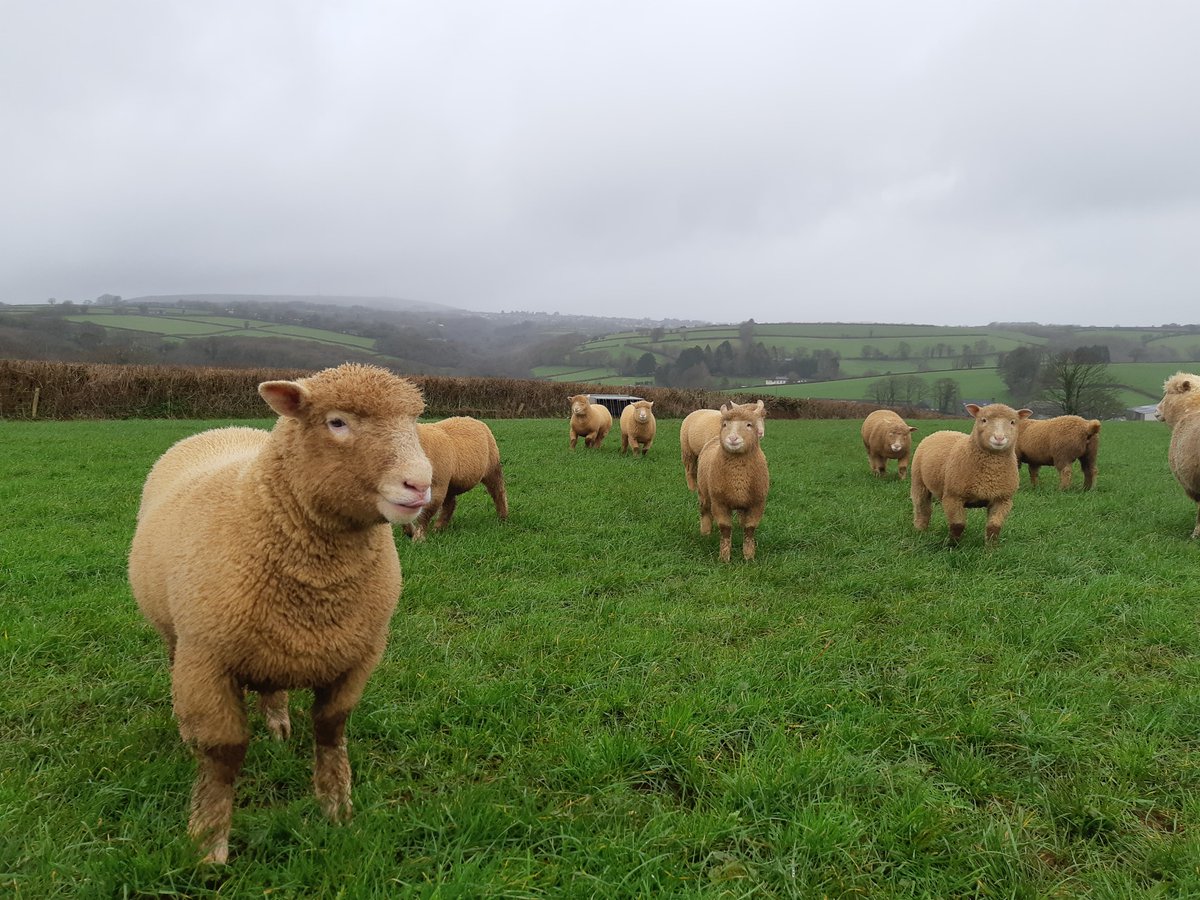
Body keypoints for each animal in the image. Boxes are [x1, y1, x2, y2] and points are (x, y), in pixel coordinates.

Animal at [128, 363, 433, 864]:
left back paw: (278, 726)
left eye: (414, 422)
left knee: (273, 689)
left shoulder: (359, 657)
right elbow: (223, 755)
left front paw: (336, 809)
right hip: (176, 637)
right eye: (337, 422)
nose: (420, 484)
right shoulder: (206, 660)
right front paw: (209, 842)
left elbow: (330, 731)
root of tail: (221, 429)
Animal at [696, 402, 770, 562]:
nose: (733, 438)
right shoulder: (720, 503)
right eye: (725, 424)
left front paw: (749, 557)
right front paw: (724, 558)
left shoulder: (757, 503)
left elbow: (749, 530)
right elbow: (725, 529)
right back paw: (705, 533)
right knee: (705, 511)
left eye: (749, 424)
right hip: (704, 493)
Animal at [910, 402, 1031, 545]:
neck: (990, 474)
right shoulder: (953, 496)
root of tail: (942, 431)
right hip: (918, 482)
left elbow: (994, 527)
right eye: (983, 420)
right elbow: (958, 525)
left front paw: (991, 548)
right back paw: (920, 530)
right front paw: (951, 545)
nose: (999, 438)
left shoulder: (1002, 499)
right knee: (922, 508)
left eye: (1013, 422)